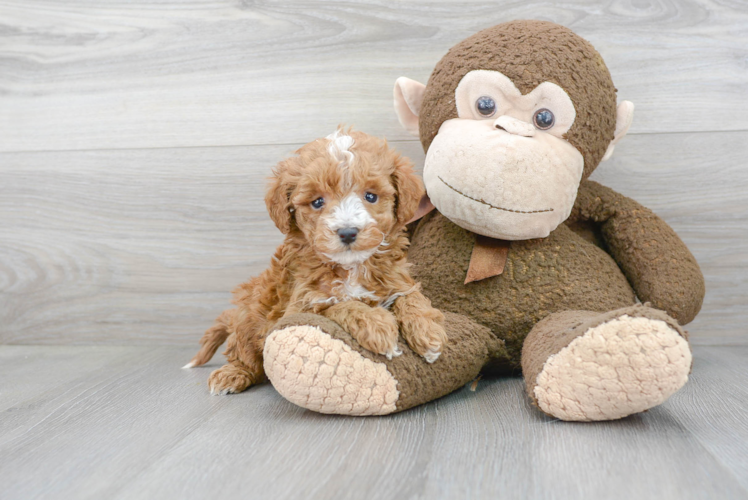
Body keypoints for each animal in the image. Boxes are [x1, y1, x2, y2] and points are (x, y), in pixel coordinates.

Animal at [184, 126, 448, 394]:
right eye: (318, 202)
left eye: (371, 196)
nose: (348, 232)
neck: (351, 267)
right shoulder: (299, 305)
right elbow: (339, 305)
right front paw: (377, 325)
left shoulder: (397, 278)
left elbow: (411, 297)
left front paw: (429, 333)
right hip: (248, 318)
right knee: (244, 354)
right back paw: (232, 374)